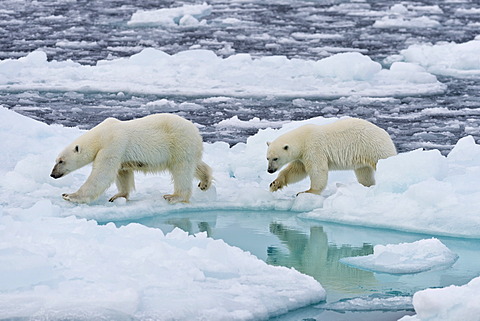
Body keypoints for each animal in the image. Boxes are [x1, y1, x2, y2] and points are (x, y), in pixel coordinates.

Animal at [50, 112, 212, 202]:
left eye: (61, 161)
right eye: (56, 160)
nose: (52, 174)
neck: (101, 135)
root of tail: (196, 131)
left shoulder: (113, 144)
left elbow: (102, 174)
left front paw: (69, 195)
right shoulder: (119, 152)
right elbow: (123, 173)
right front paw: (118, 196)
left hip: (179, 143)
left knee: (181, 170)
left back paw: (174, 196)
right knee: (195, 165)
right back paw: (205, 182)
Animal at [266, 118, 398, 195]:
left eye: (275, 158)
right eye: (267, 158)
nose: (269, 170)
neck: (302, 139)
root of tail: (385, 134)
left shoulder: (313, 148)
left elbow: (317, 170)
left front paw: (307, 191)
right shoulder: (302, 156)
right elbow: (296, 170)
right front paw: (274, 184)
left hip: (374, 148)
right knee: (364, 174)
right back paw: (367, 186)